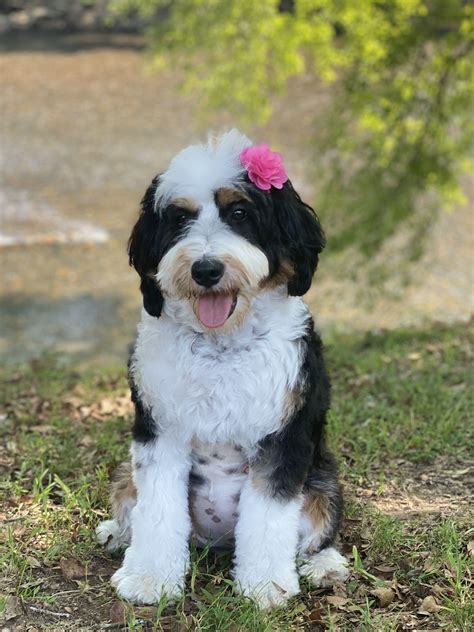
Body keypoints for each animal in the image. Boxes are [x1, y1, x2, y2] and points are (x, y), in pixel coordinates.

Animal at [96, 128, 348, 608]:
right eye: (179, 219)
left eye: (240, 212)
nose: (206, 269)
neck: (221, 347)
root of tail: (218, 543)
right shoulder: (161, 432)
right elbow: (157, 510)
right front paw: (150, 577)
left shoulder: (282, 439)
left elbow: (269, 519)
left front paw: (265, 584)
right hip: (124, 475)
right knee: (132, 502)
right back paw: (119, 533)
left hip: (322, 479)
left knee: (318, 528)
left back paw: (323, 564)